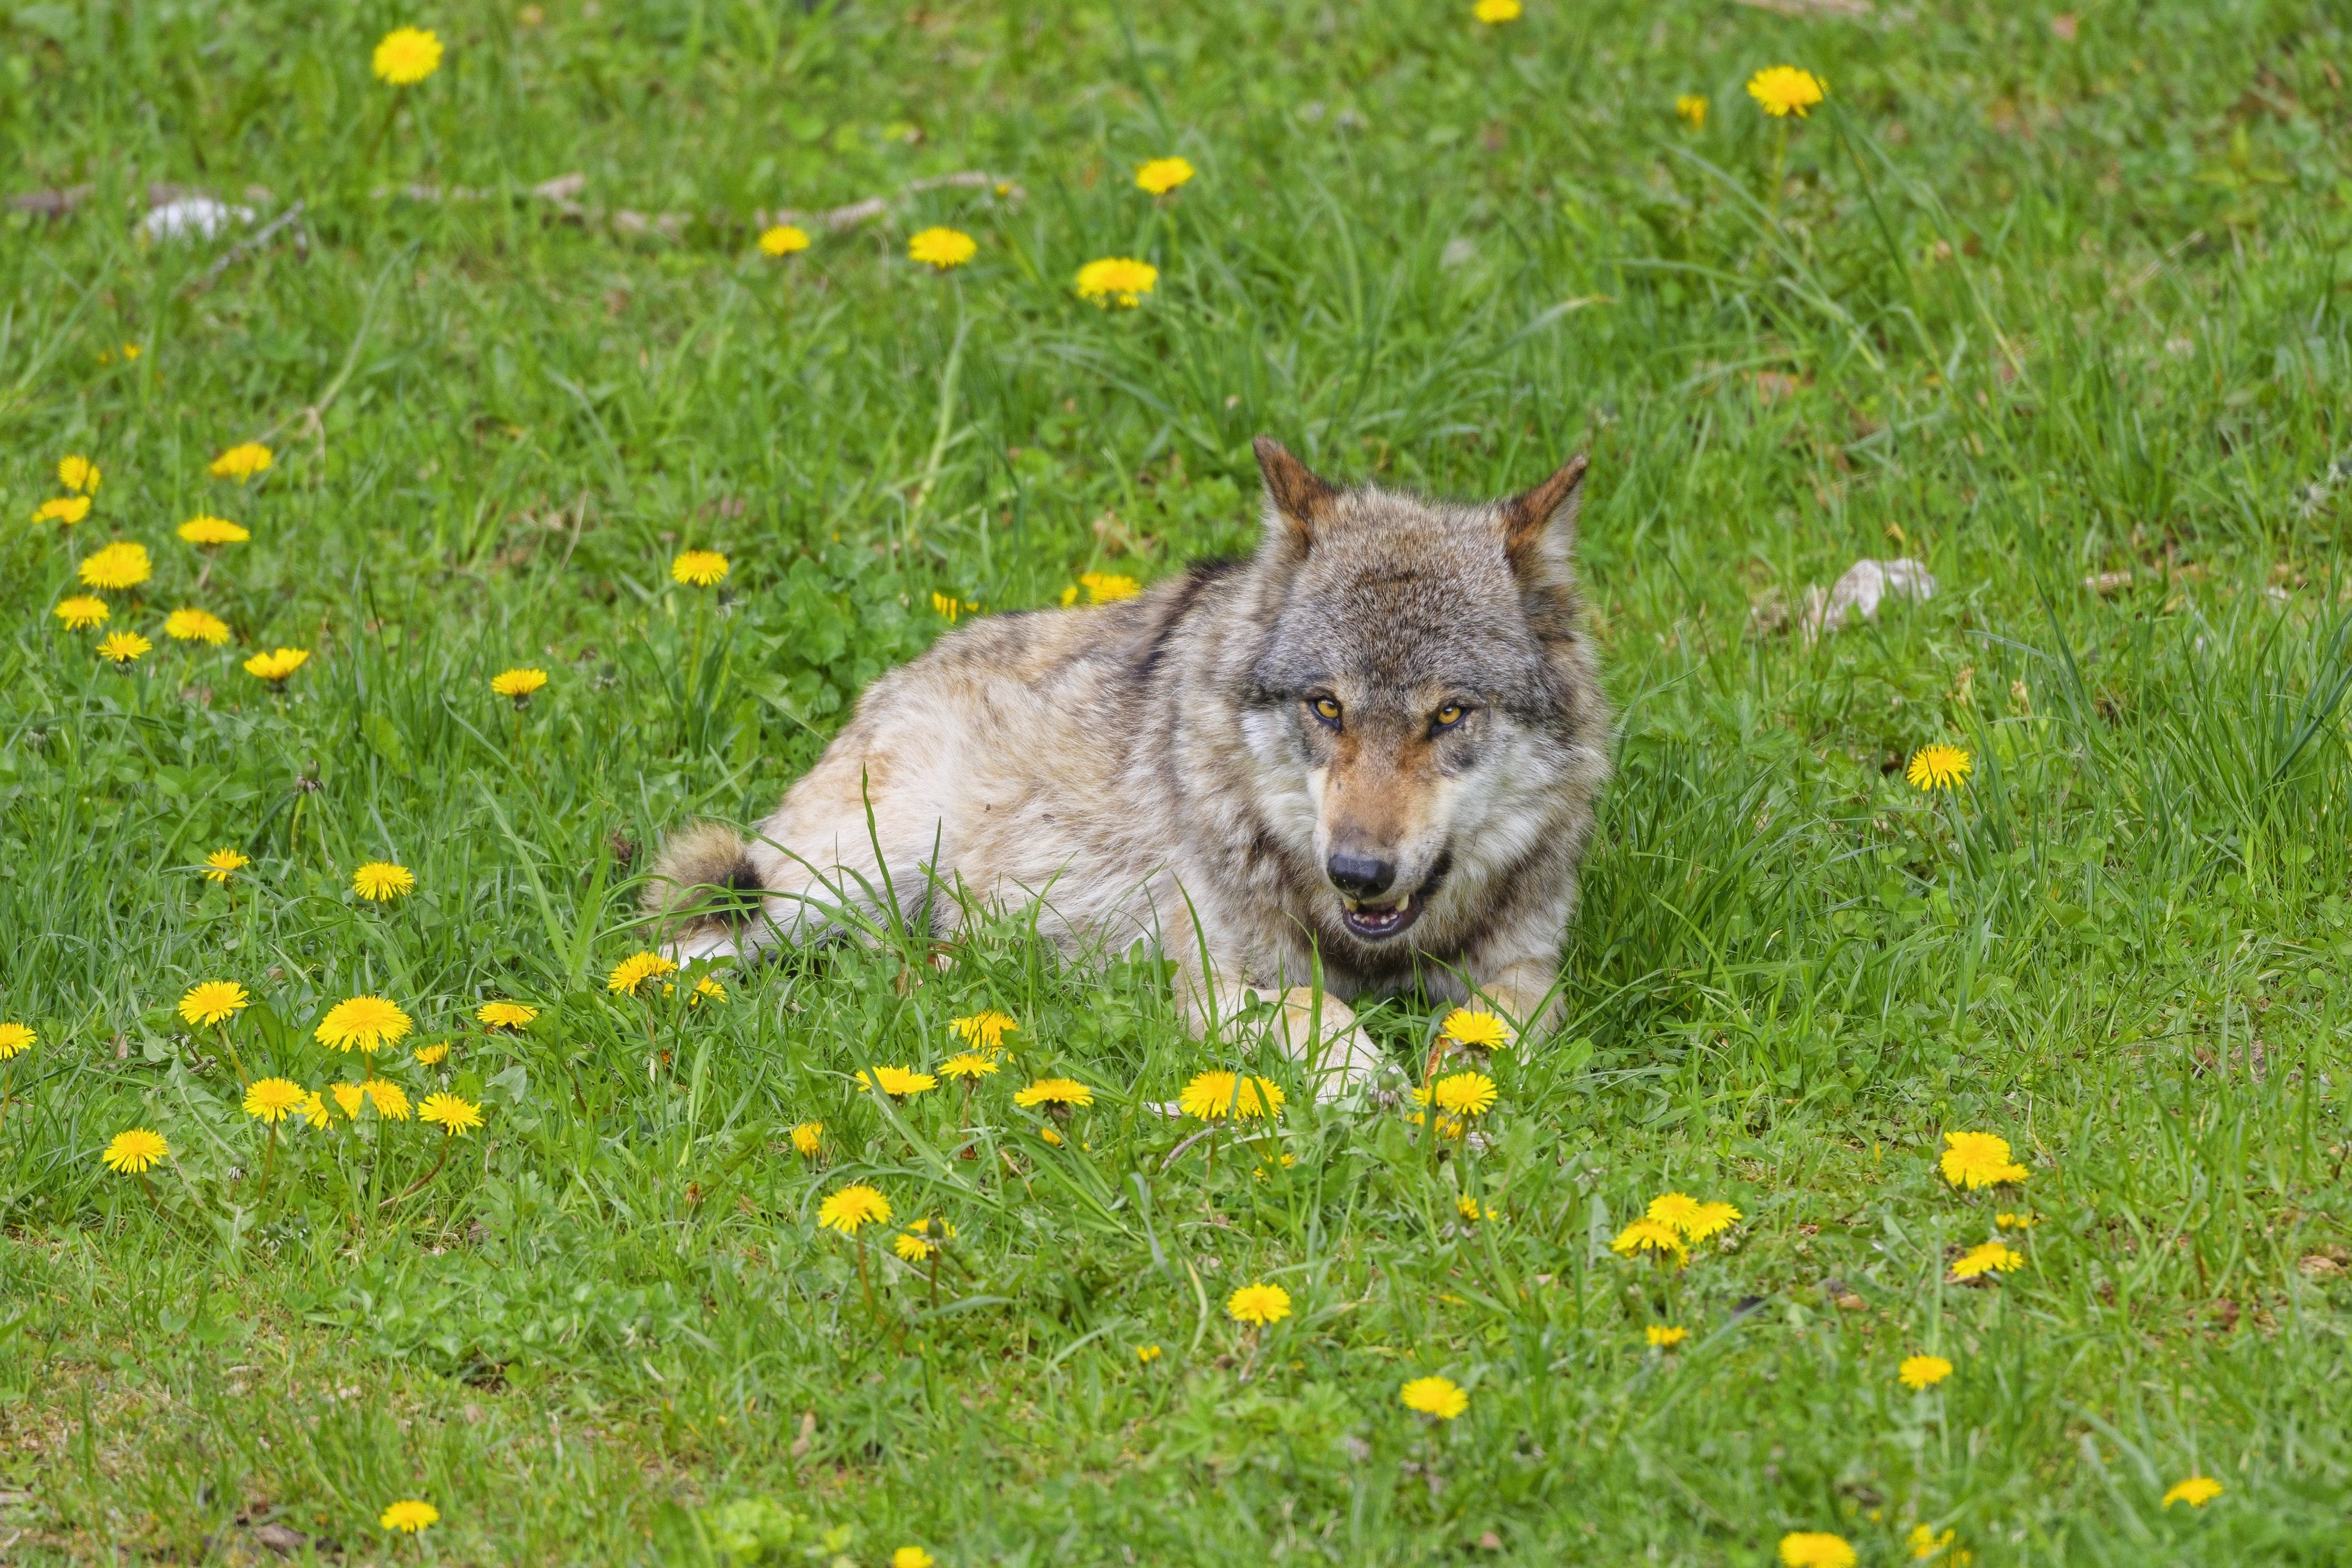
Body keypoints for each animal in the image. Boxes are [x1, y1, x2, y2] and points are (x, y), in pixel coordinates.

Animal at [653, 434, 1608, 1086]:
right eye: (1326, 707)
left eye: (1448, 714)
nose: (1357, 871)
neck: (1370, 949)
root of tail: (899, 673)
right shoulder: (1213, 979)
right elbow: (1315, 1003)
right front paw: (1363, 1081)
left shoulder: (1527, 971)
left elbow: (1496, 1023)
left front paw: (1454, 1086)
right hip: (828, 886)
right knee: (688, 939)